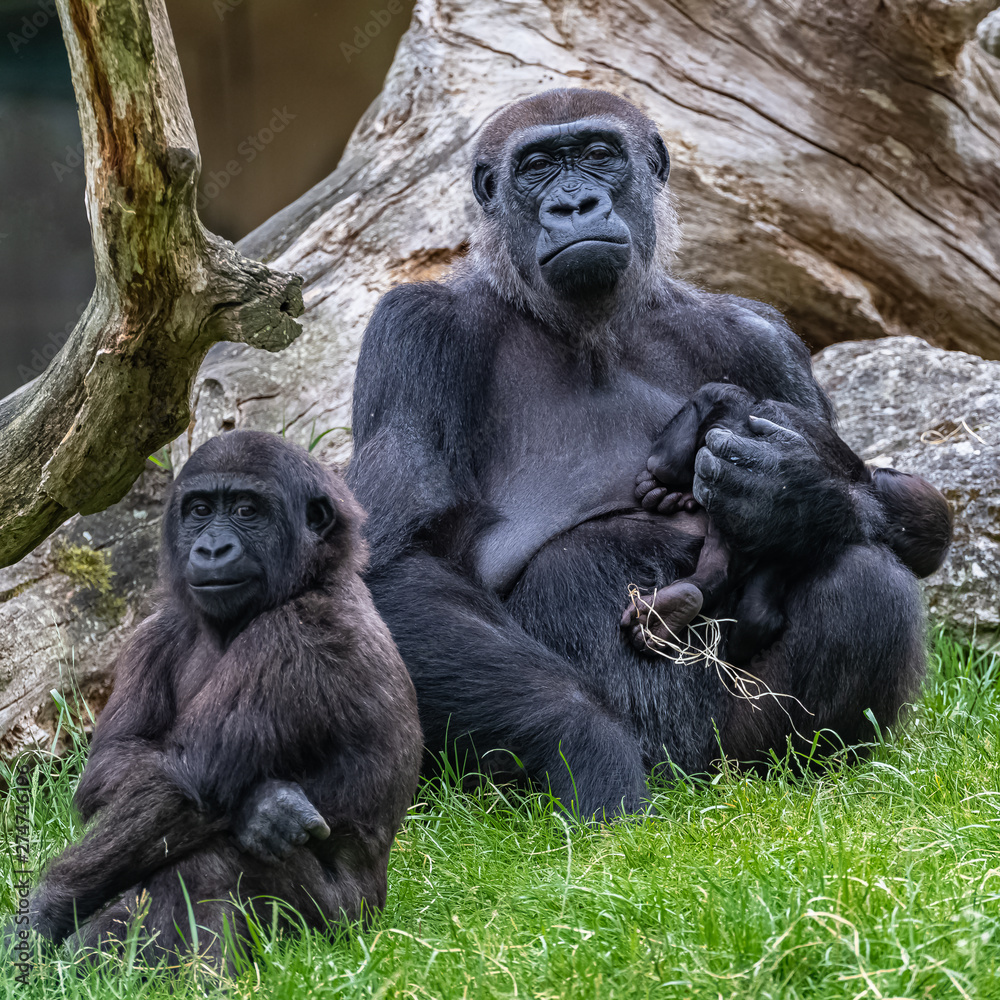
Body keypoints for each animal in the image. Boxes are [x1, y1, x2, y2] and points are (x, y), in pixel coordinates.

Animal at [23, 432, 422, 968]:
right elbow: (113, 764)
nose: (212, 548)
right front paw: (264, 808)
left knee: (208, 862)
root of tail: (377, 910)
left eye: (246, 510)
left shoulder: (296, 635)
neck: (310, 579)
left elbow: (184, 785)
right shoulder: (156, 628)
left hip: (344, 926)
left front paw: (41, 916)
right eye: (200, 509)